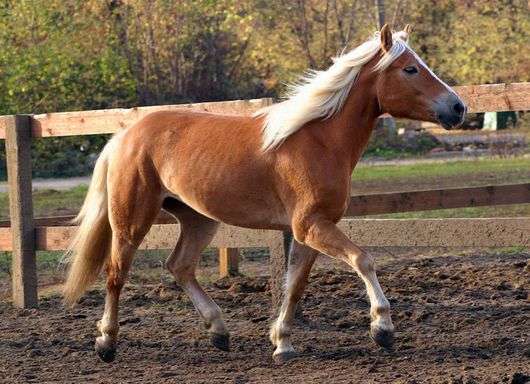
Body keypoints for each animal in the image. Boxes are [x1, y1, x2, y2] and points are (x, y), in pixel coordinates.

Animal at [64, 24, 464, 364]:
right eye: (410, 69)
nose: (458, 107)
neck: (319, 140)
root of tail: (124, 136)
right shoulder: (311, 226)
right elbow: (363, 259)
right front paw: (382, 328)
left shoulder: (309, 230)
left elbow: (295, 286)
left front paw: (282, 343)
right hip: (132, 220)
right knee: (116, 273)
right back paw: (106, 343)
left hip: (198, 219)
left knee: (179, 266)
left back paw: (219, 332)